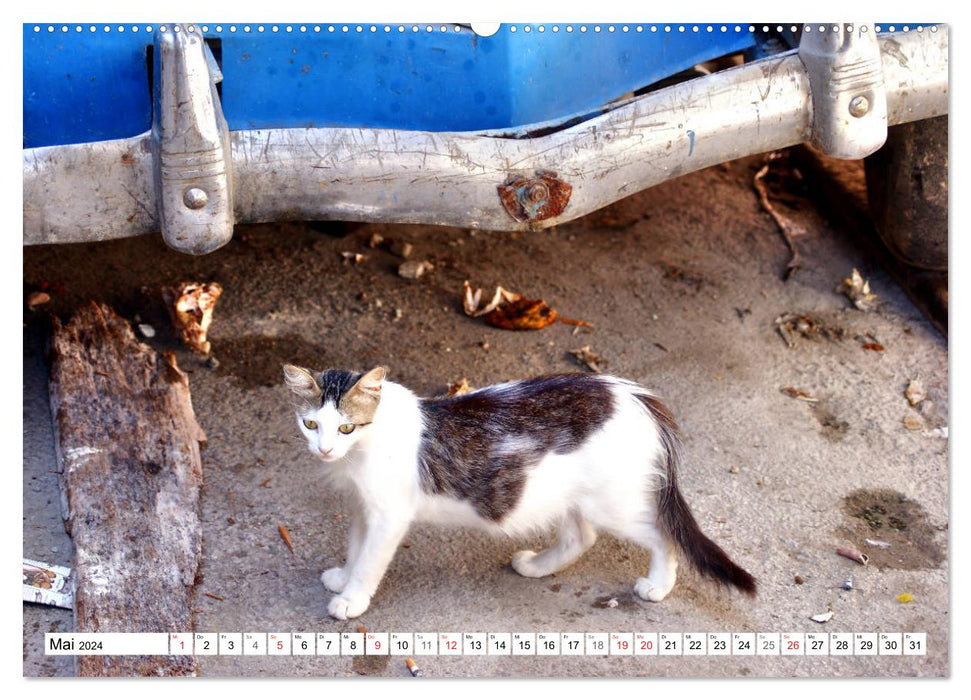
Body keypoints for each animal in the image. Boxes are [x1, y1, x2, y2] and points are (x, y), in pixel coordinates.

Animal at [284, 364, 756, 620]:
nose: (324, 449)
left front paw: (352, 599)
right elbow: (355, 547)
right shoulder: (363, 508)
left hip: (612, 503)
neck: (361, 450)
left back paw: (657, 584)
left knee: (662, 535)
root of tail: (633, 394)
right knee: (580, 537)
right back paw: (536, 566)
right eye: (311, 424)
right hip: (569, 495)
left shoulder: (388, 515)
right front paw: (343, 578)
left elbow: (370, 561)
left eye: (347, 427)